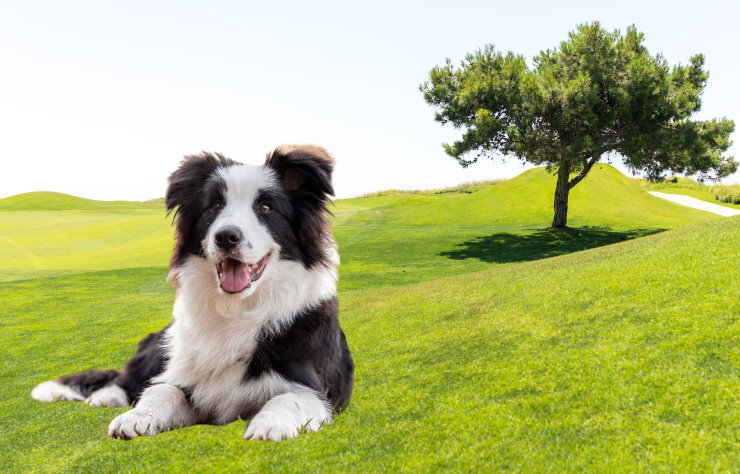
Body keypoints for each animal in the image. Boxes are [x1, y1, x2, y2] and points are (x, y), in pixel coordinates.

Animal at [29, 145, 352, 440]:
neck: (237, 309)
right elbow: (162, 391)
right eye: (213, 206)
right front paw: (137, 416)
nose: (226, 236)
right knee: (126, 378)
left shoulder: (318, 390)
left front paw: (270, 425)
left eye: (266, 208)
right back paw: (107, 396)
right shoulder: (185, 380)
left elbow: (289, 398)